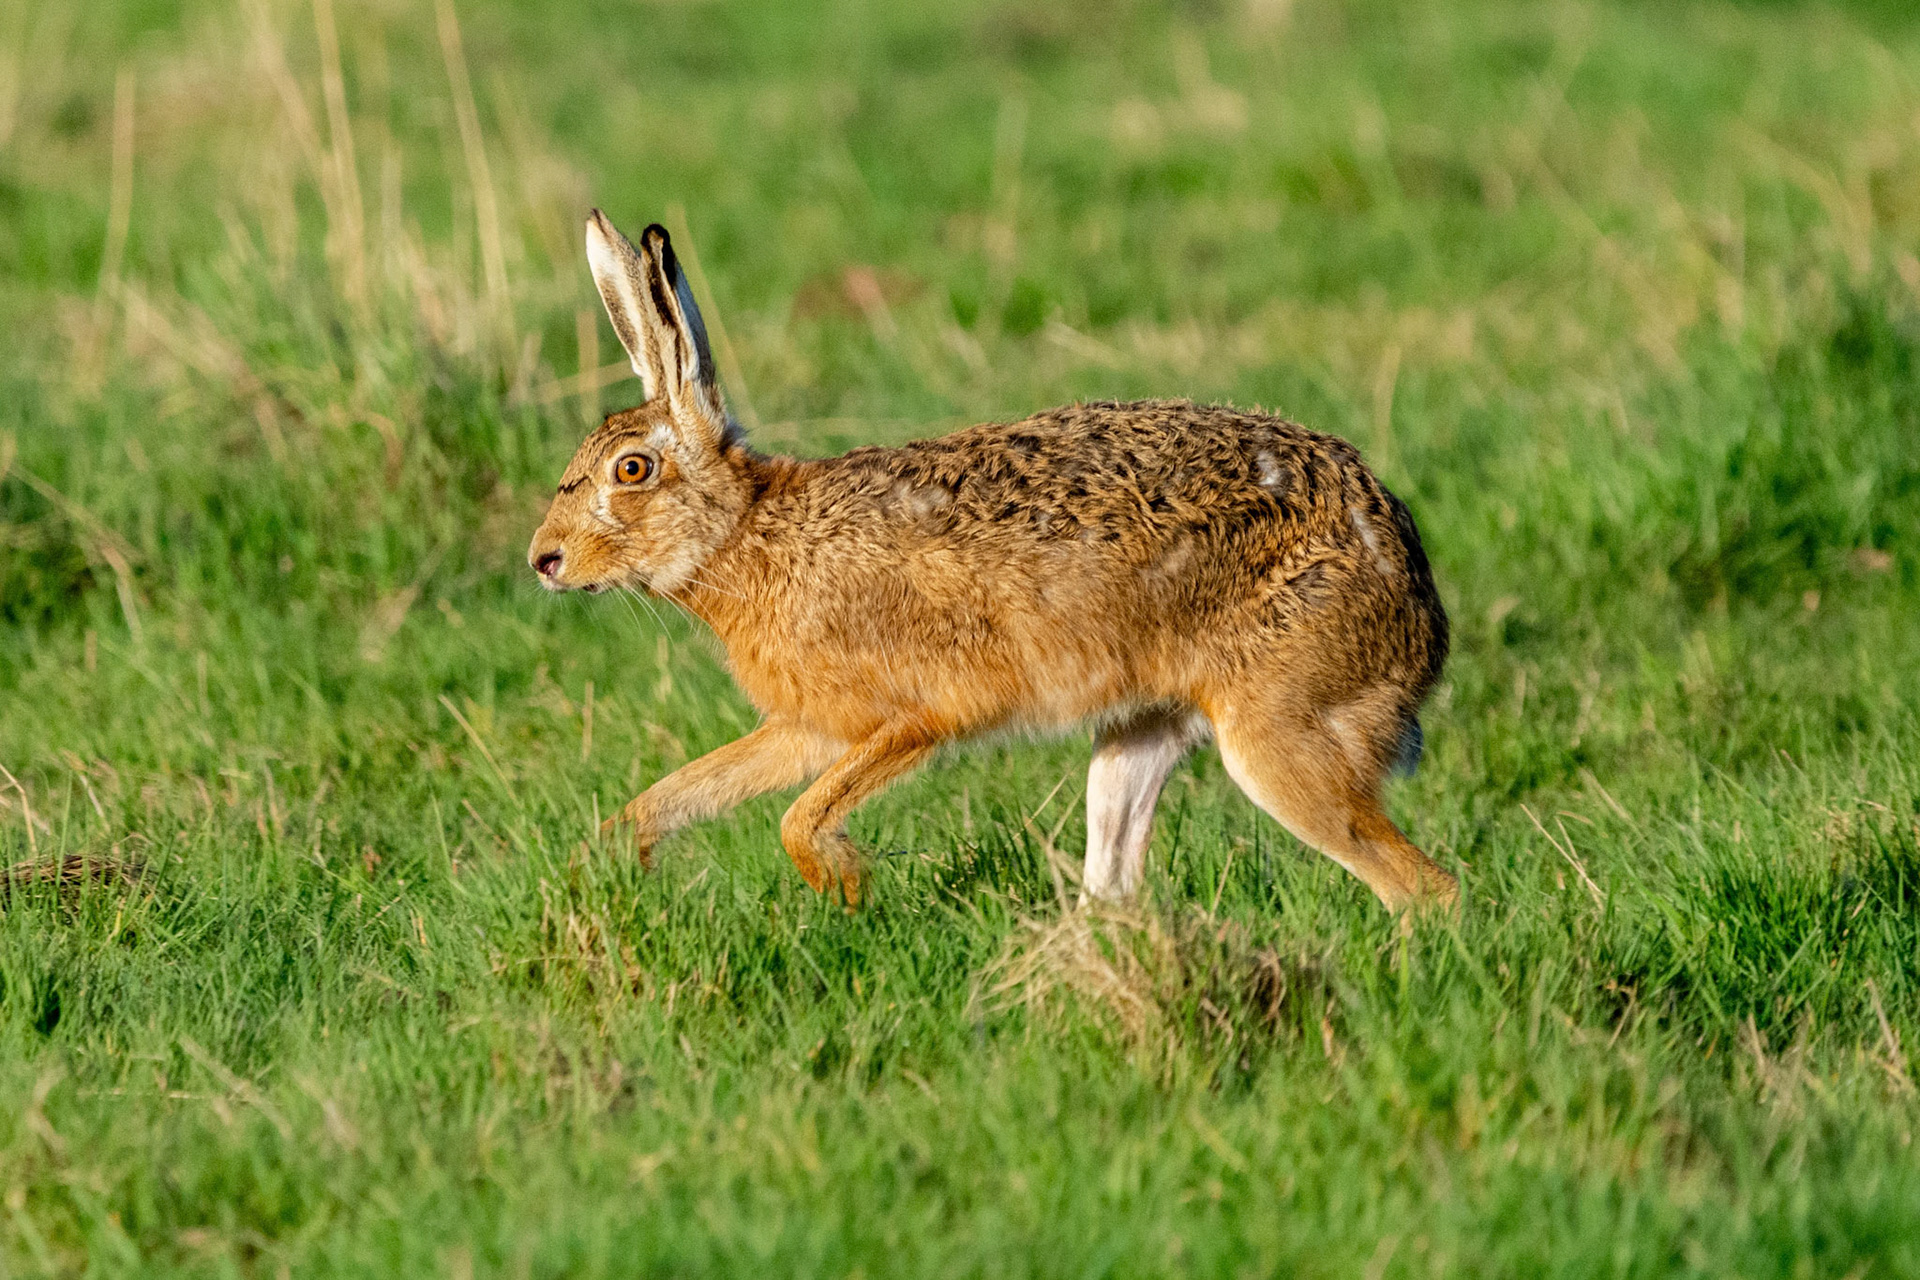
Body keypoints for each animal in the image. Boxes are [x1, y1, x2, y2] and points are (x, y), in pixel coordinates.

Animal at [528, 210, 1456, 912]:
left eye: (632, 470)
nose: (545, 560)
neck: (747, 533)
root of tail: (1416, 599)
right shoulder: (809, 725)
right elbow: (686, 789)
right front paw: (616, 857)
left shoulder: (918, 715)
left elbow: (799, 817)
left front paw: (847, 885)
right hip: (1141, 737)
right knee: (1115, 875)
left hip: (1280, 731)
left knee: (1421, 886)